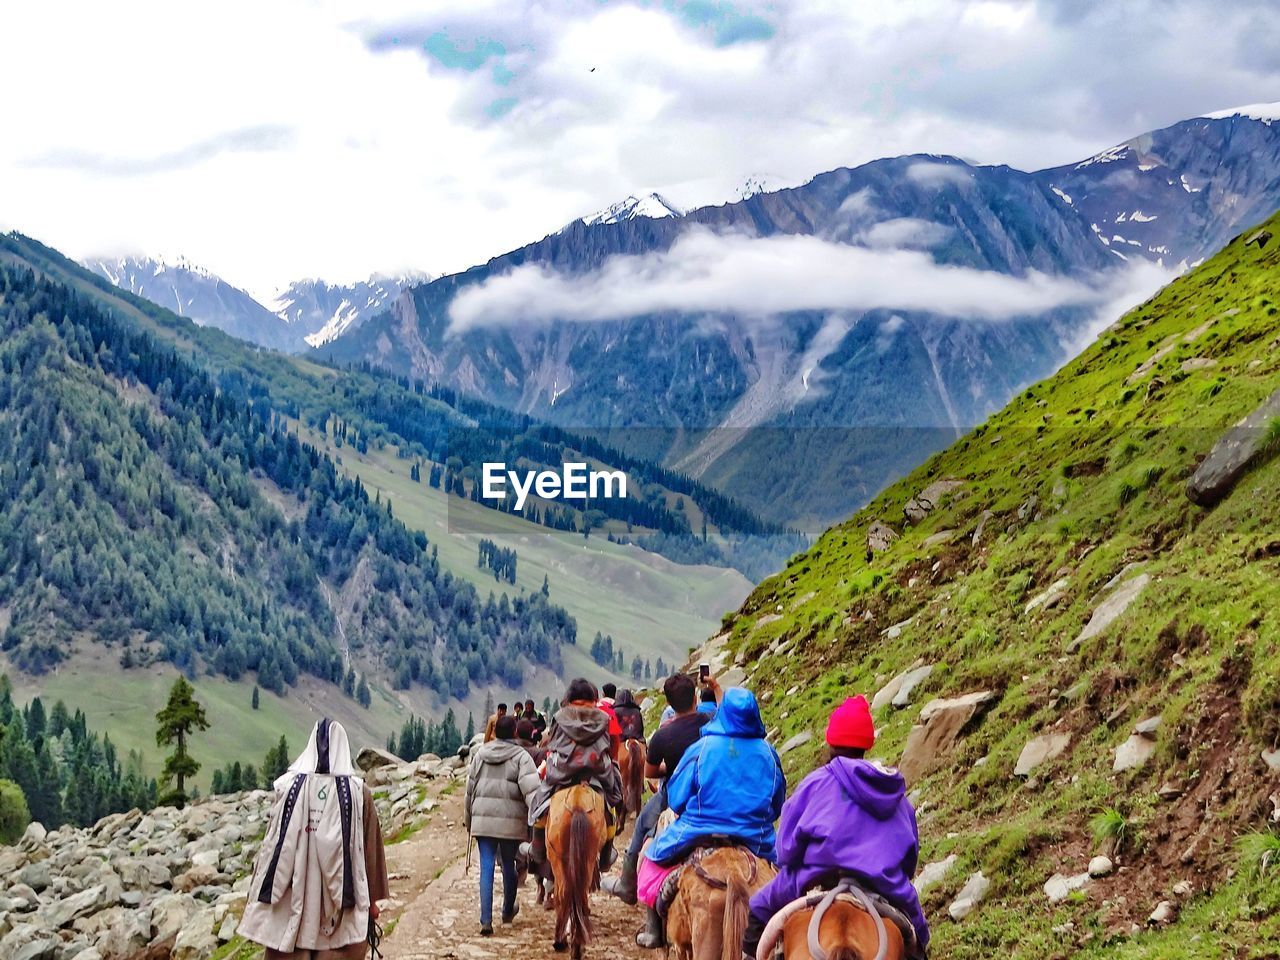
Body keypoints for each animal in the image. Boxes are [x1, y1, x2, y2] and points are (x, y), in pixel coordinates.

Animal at [542, 783, 606, 957]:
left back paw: (562, 942)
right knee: (579, 894)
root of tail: (577, 805)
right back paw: (577, 945)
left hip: (559, 860)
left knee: (564, 894)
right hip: (587, 859)